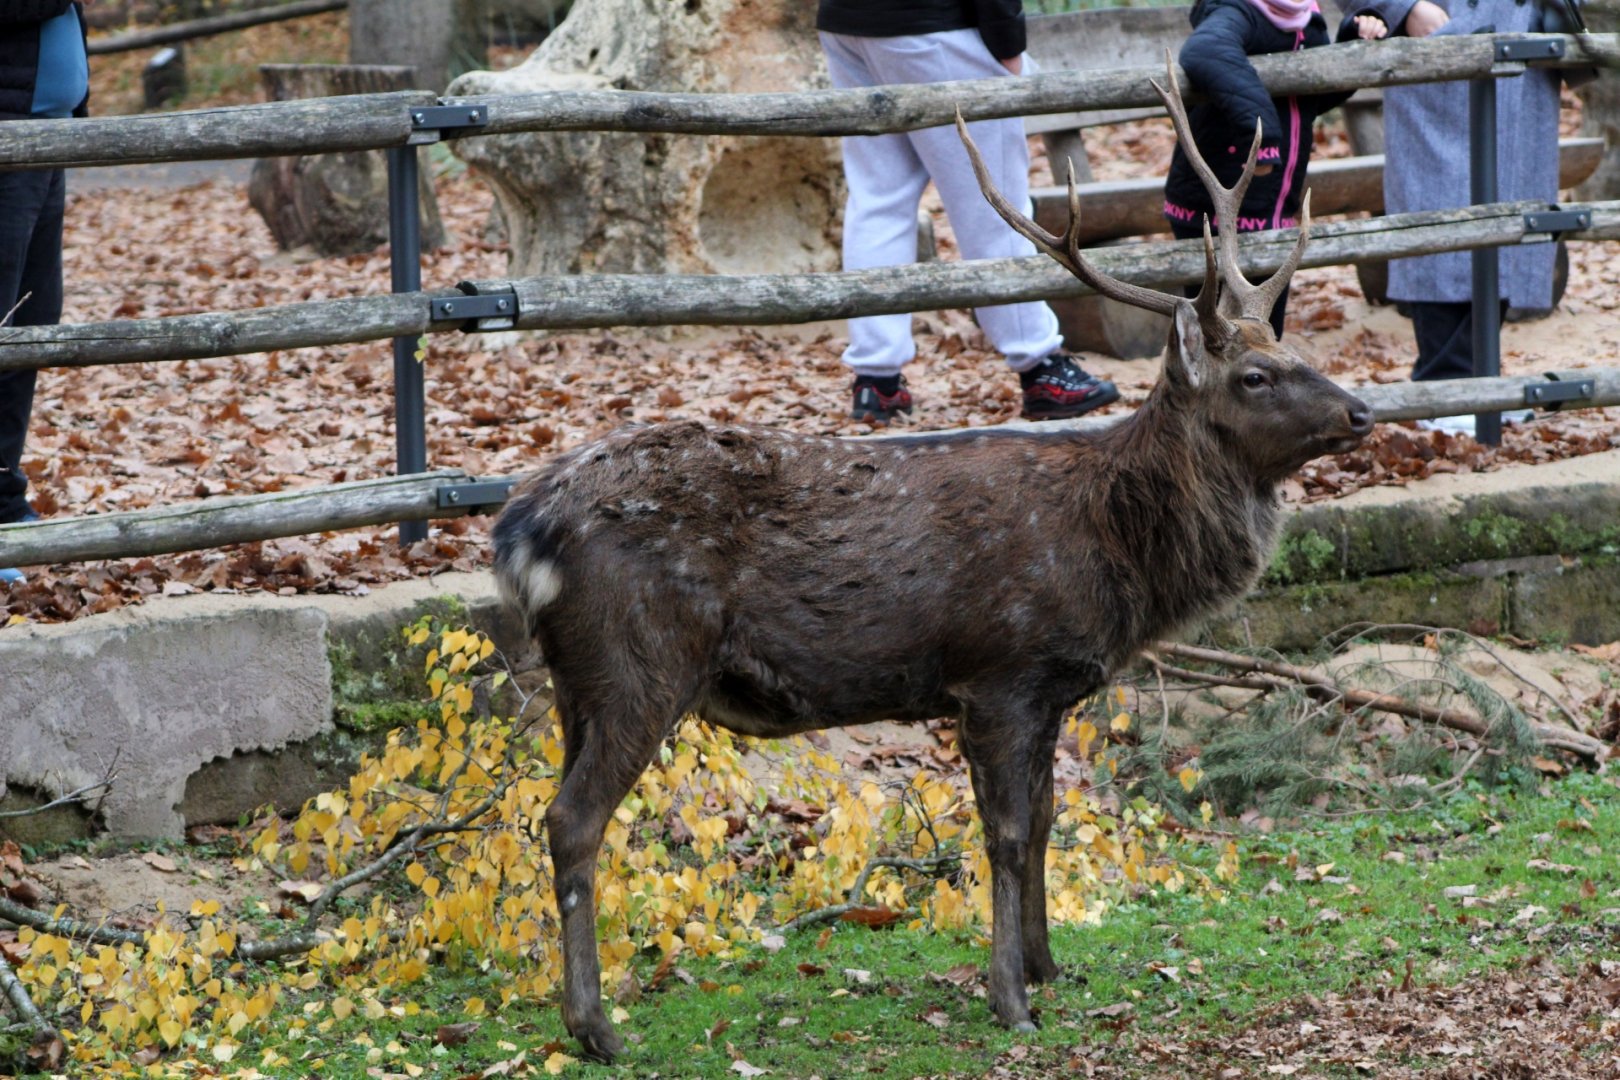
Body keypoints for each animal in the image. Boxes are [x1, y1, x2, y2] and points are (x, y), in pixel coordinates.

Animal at [491, 58, 1373, 1062]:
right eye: (1255, 377)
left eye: (1288, 348)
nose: (1362, 412)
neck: (1112, 556)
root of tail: (522, 529)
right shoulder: (998, 673)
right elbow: (1007, 835)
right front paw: (1010, 998)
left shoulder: (1051, 688)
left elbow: (1049, 822)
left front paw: (1050, 967)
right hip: (640, 657)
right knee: (572, 819)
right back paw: (596, 1028)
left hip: (576, 680)